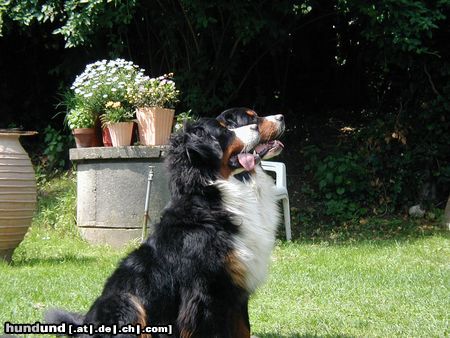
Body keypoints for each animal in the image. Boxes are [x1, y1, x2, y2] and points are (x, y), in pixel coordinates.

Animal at [45, 119, 268, 338]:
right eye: (224, 131)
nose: (257, 125)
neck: (210, 198)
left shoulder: (236, 290)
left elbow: (243, 329)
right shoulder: (206, 291)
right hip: (125, 301)